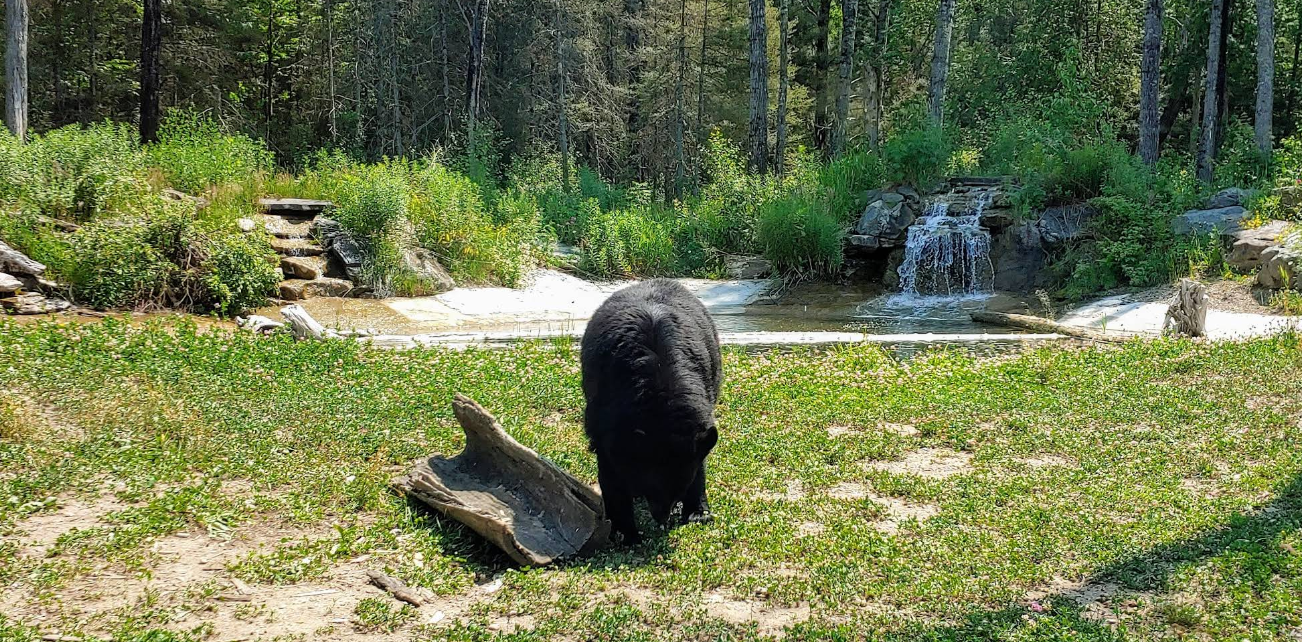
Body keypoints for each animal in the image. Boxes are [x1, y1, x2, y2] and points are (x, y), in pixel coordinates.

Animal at [580, 279, 723, 545]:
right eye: (651, 488)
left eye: (678, 489)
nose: (661, 518)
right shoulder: (607, 419)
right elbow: (611, 473)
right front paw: (626, 533)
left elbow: (699, 461)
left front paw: (698, 513)